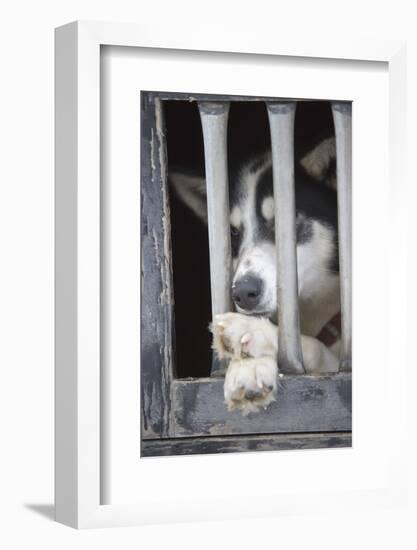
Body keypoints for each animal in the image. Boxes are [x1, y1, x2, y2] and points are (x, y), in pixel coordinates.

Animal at [169, 137, 338, 414]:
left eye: (285, 221)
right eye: (233, 232)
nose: (242, 292)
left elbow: (313, 348)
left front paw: (251, 331)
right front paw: (248, 366)